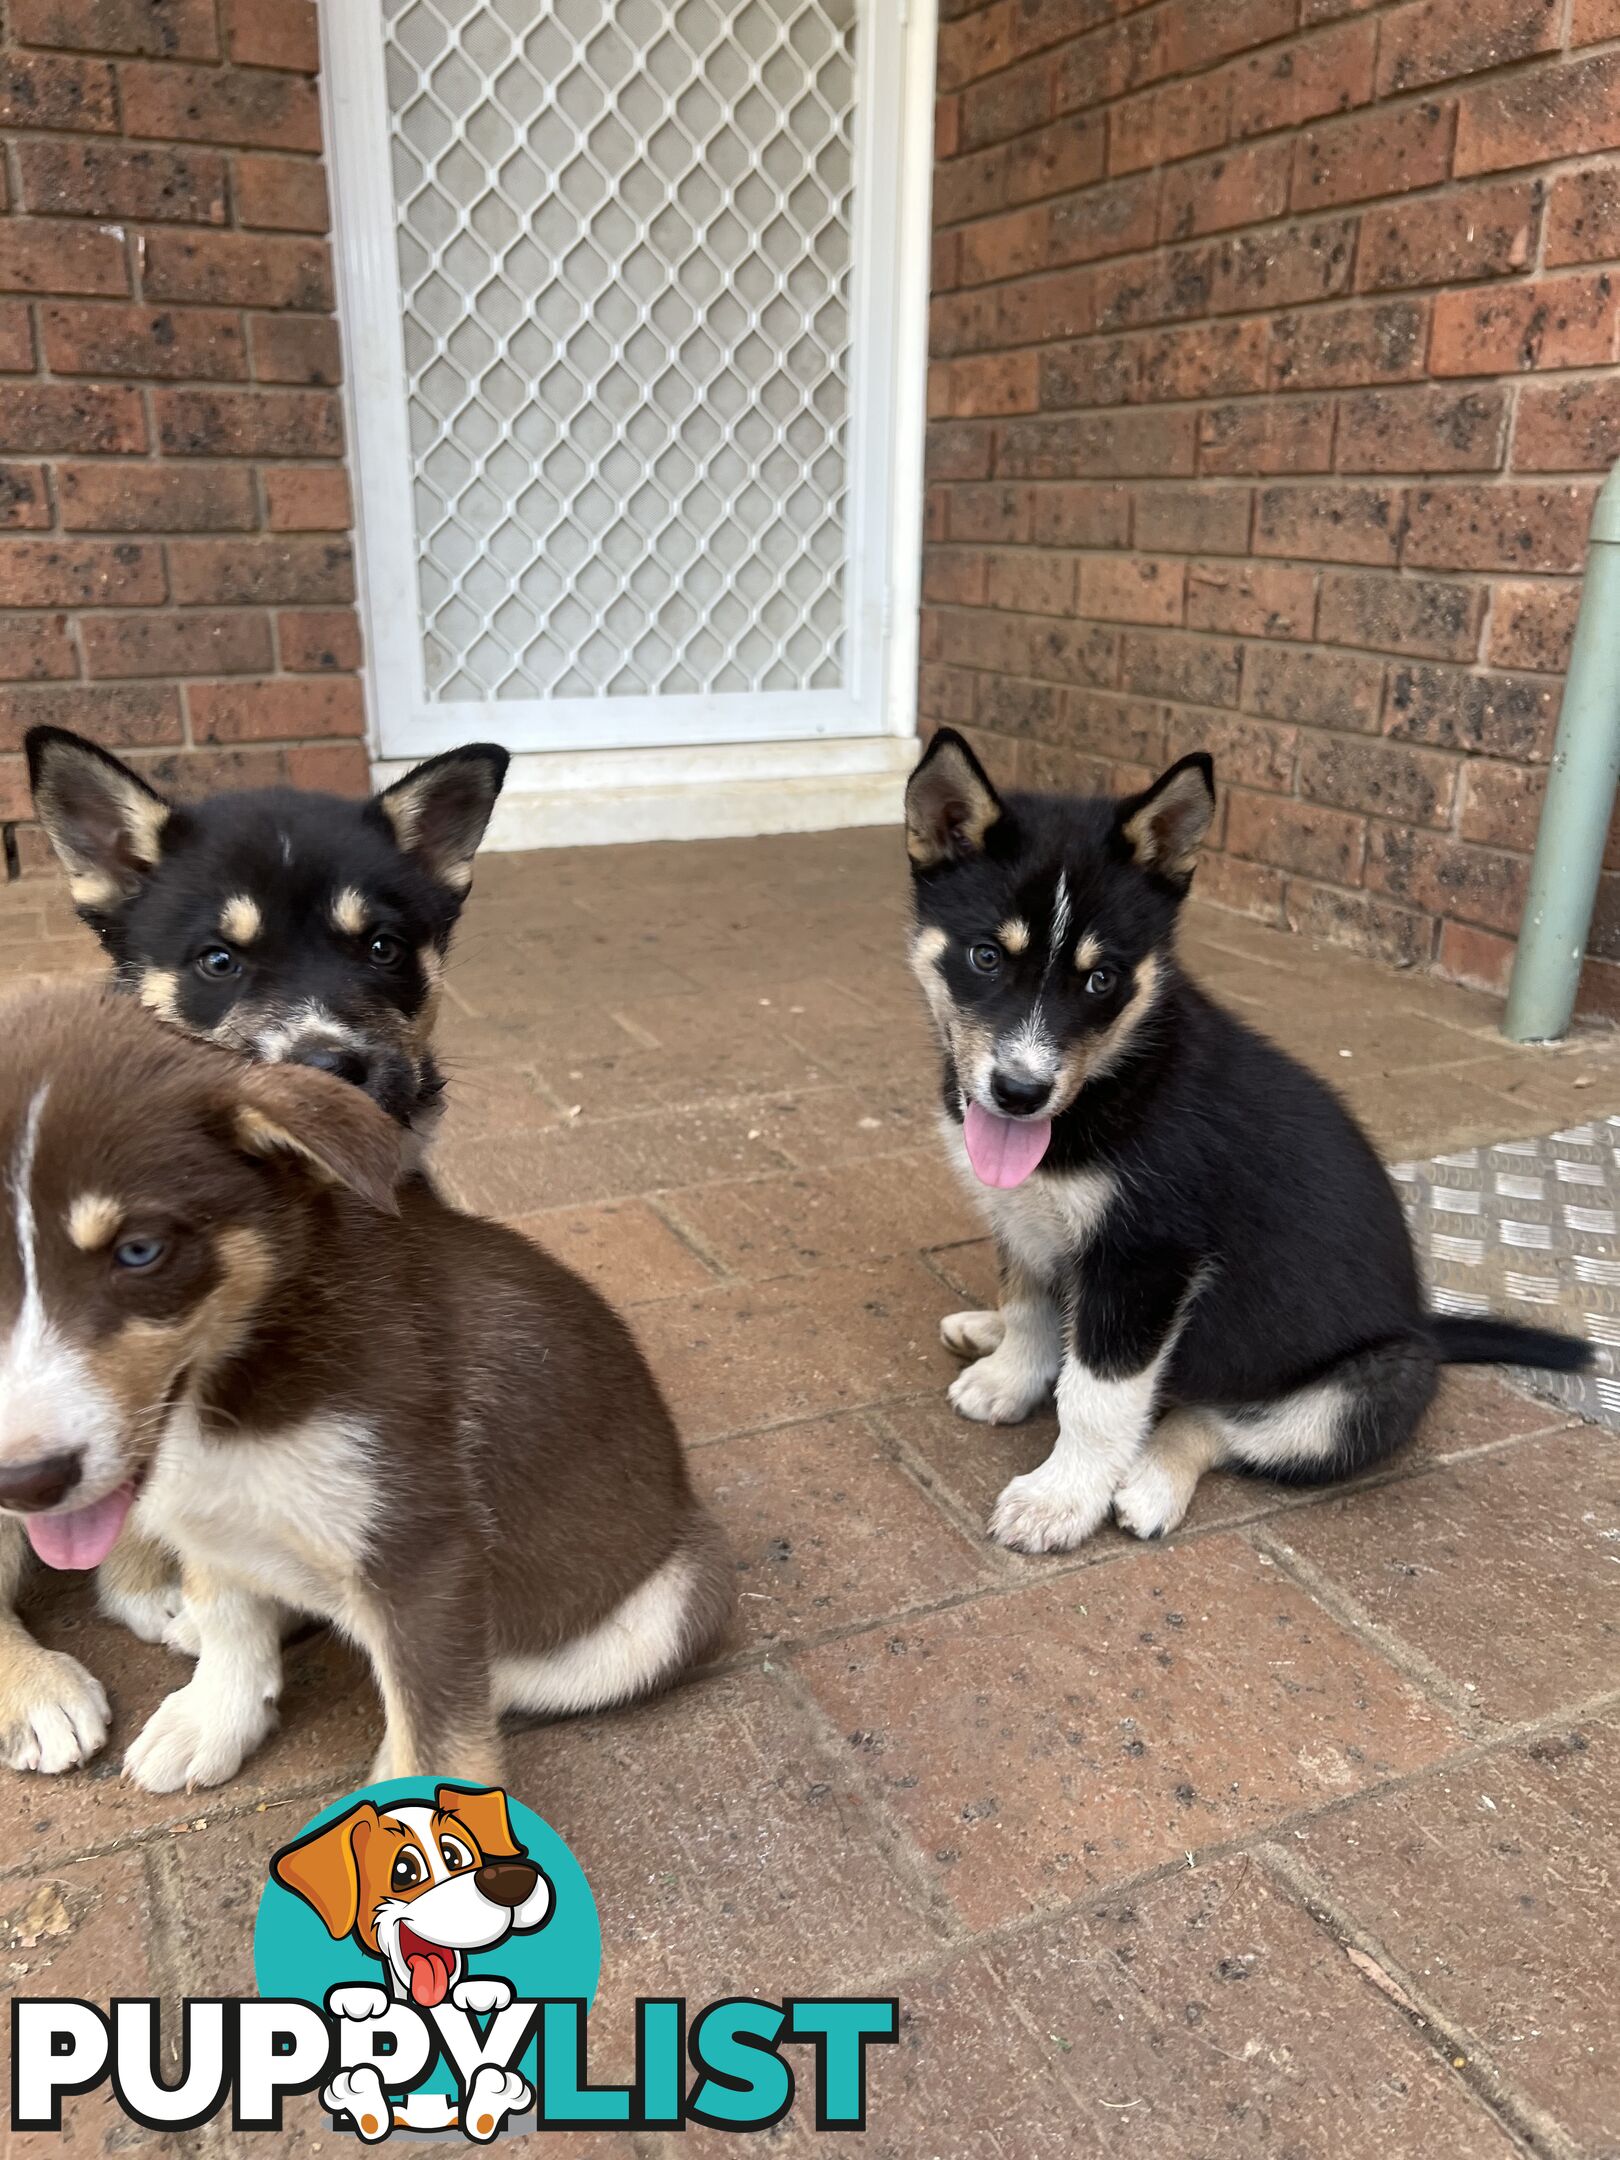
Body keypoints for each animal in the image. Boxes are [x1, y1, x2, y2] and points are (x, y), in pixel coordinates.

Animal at [0, 984, 730, 1788]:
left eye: (140, 1252)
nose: (22, 1484)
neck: (234, 1382)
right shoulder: (208, 1519)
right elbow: (229, 1617)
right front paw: (215, 1717)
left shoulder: (425, 1552)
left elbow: (440, 1721)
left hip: (664, 1610)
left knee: (497, 1676)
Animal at [907, 725, 1589, 1555]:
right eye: (985, 957)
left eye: (1101, 980)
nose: (1020, 1092)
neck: (1113, 1082)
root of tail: (1424, 1328)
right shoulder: (1027, 1219)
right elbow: (1031, 1305)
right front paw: (1010, 1377)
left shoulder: (1147, 1262)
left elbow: (1098, 1398)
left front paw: (1060, 1498)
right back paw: (985, 1331)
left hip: (1361, 1396)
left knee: (1212, 1419)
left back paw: (1151, 1485)